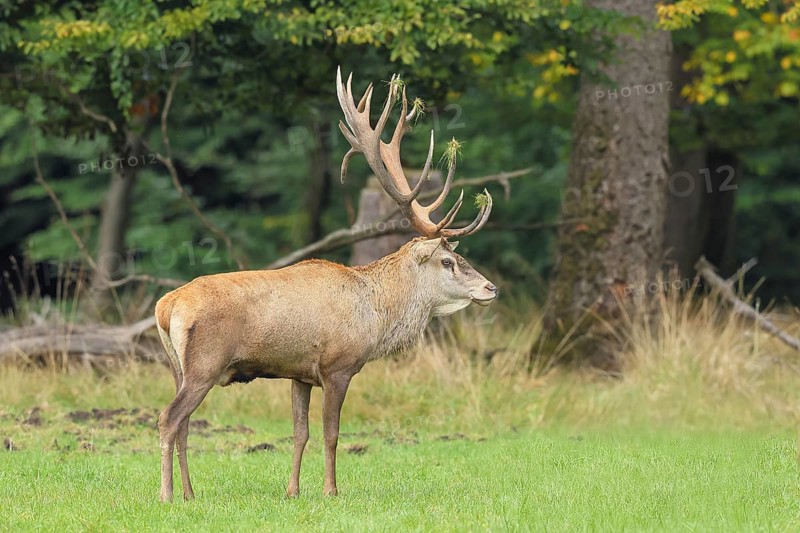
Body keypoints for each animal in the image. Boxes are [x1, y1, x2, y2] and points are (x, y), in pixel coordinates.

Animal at [154, 67, 498, 502]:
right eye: (449, 260)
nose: (490, 288)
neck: (376, 315)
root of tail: (165, 307)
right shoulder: (338, 366)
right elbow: (331, 433)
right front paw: (331, 491)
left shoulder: (299, 373)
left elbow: (299, 433)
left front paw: (292, 491)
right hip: (204, 364)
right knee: (169, 417)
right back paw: (167, 495)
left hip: (177, 366)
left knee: (183, 424)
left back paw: (189, 493)